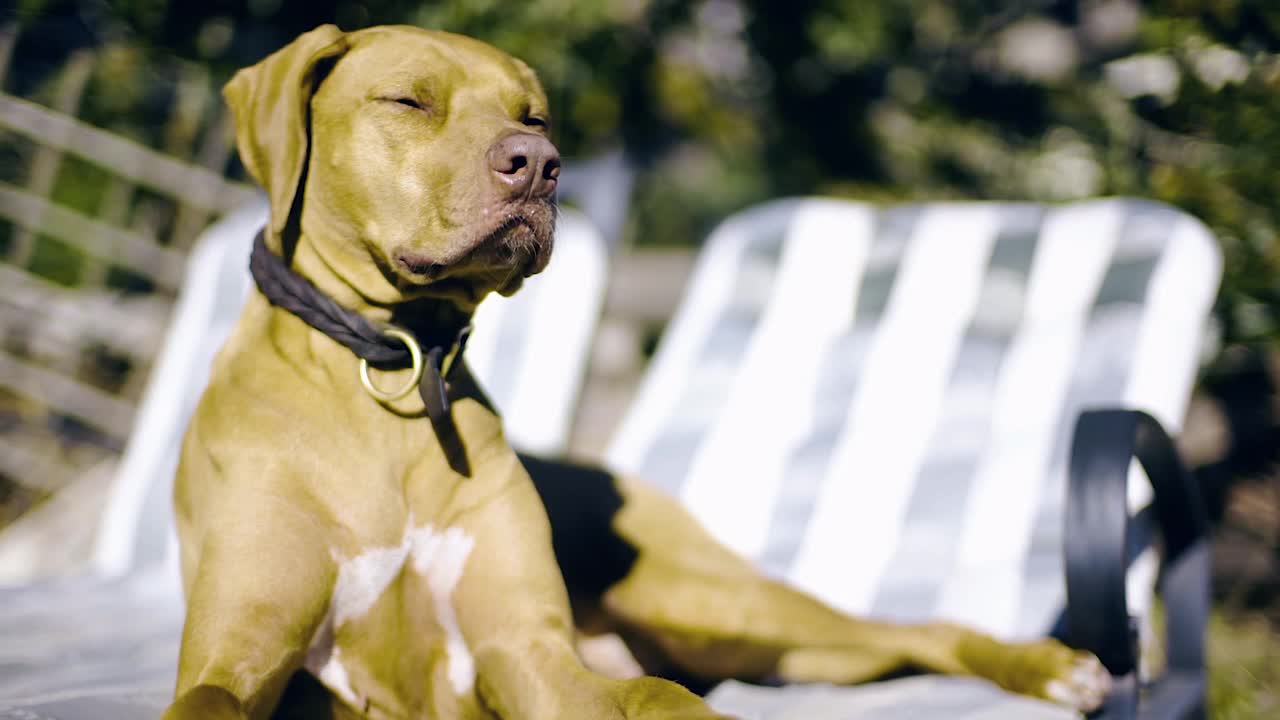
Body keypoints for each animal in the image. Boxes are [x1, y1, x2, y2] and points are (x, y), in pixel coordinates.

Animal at [167, 23, 1111, 717]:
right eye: (408, 100)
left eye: (535, 116)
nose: (538, 167)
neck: (398, 363)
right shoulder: (239, 651)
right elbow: (209, 696)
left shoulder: (528, 651)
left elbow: (656, 697)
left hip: (717, 605)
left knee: (909, 630)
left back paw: (1049, 667)